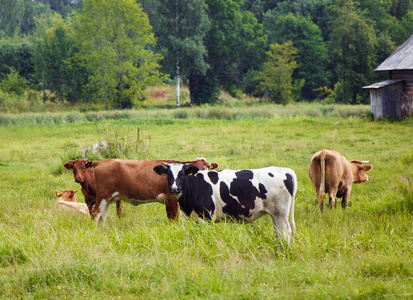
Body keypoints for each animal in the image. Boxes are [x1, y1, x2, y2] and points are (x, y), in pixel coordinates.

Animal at [90, 158, 219, 221]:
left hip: (108, 199)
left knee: (102, 216)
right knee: (95, 213)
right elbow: (174, 219)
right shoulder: (172, 200)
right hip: (103, 196)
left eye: (206, 167)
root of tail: (100, 162)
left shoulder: (168, 202)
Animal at [153, 162, 294, 244]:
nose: (174, 188)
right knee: (279, 233)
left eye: (182, 174)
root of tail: (286, 171)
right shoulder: (189, 219)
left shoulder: (206, 218)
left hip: (280, 214)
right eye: (168, 175)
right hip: (276, 215)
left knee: (286, 233)